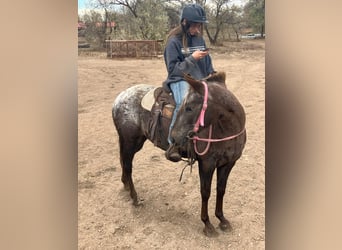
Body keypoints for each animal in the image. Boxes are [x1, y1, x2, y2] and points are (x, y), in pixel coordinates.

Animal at [112, 72, 246, 236]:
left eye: (189, 108)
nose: (175, 137)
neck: (224, 130)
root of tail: (119, 98)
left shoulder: (229, 163)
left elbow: (221, 190)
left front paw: (222, 219)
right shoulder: (207, 164)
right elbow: (205, 192)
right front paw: (207, 224)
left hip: (133, 142)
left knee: (123, 162)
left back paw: (125, 186)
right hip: (130, 141)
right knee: (127, 166)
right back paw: (135, 197)